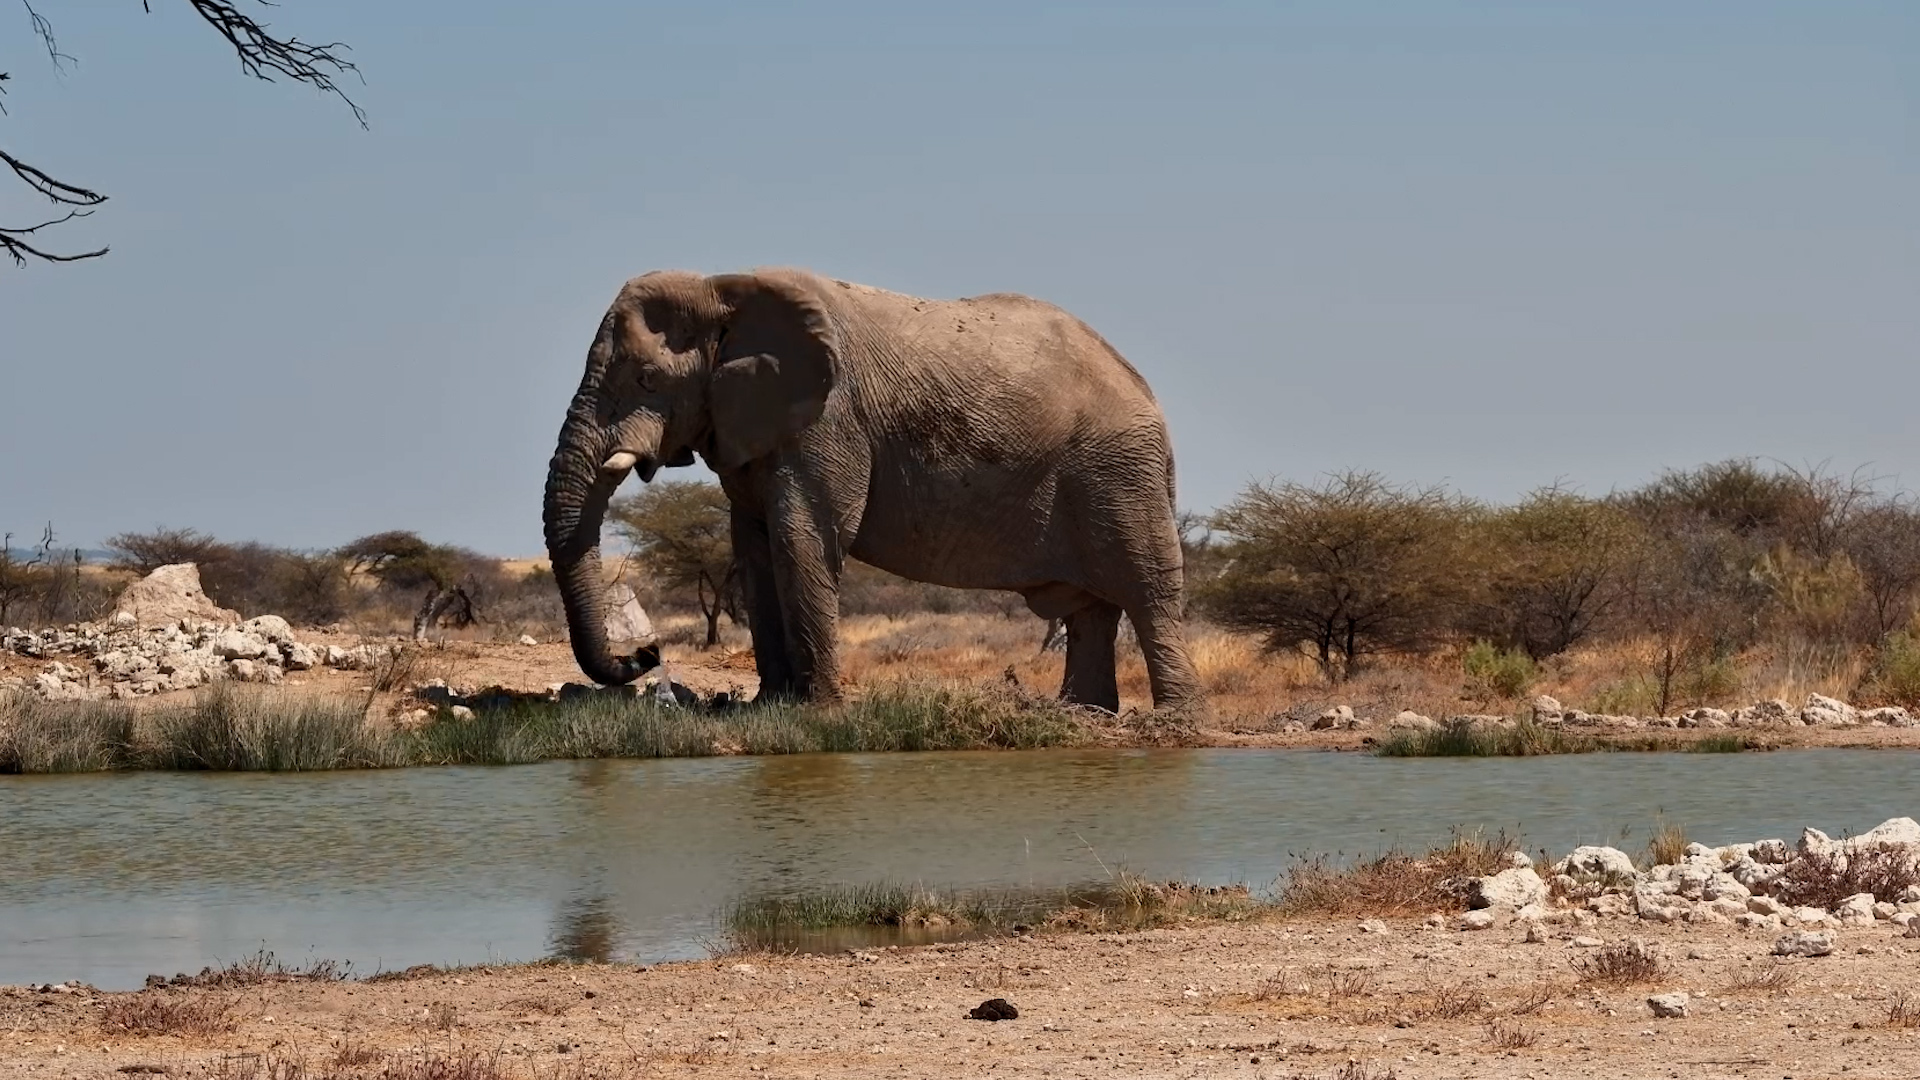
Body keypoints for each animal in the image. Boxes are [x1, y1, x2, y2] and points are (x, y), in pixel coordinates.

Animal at [541, 267, 1207, 716]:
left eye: (647, 378)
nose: (647, 654)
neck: (721, 286)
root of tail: (1145, 389)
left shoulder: (830, 419)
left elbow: (804, 538)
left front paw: (821, 715)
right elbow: (753, 547)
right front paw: (769, 708)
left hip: (1120, 471)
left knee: (1147, 591)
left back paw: (1174, 725)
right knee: (1091, 608)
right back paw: (1085, 715)